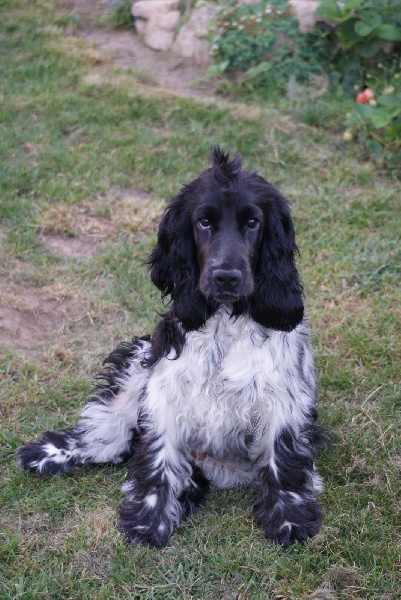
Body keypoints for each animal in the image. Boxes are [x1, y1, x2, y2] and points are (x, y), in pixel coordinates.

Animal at [17, 148, 326, 548]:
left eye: (253, 223)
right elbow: (159, 458)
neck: (225, 320)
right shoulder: (165, 389)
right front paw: (149, 521)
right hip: (139, 362)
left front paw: (290, 519)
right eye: (204, 222)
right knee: (110, 433)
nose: (226, 277)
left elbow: (283, 459)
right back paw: (48, 454)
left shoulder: (283, 399)